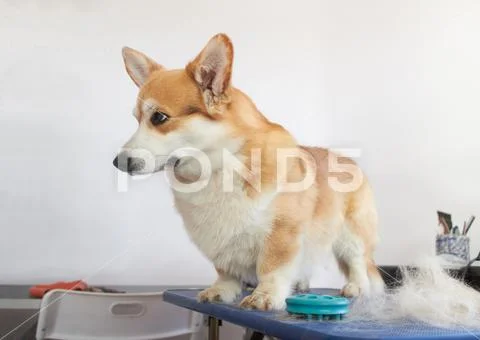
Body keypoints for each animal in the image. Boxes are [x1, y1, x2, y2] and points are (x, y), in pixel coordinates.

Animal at [112, 33, 382, 310]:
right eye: (137, 119)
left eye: (159, 117)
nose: (117, 162)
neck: (219, 167)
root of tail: (349, 161)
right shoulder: (218, 240)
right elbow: (225, 270)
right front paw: (221, 291)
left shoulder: (282, 233)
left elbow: (272, 268)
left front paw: (265, 296)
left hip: (351, 236)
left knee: (358, 263)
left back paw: (357, 287)